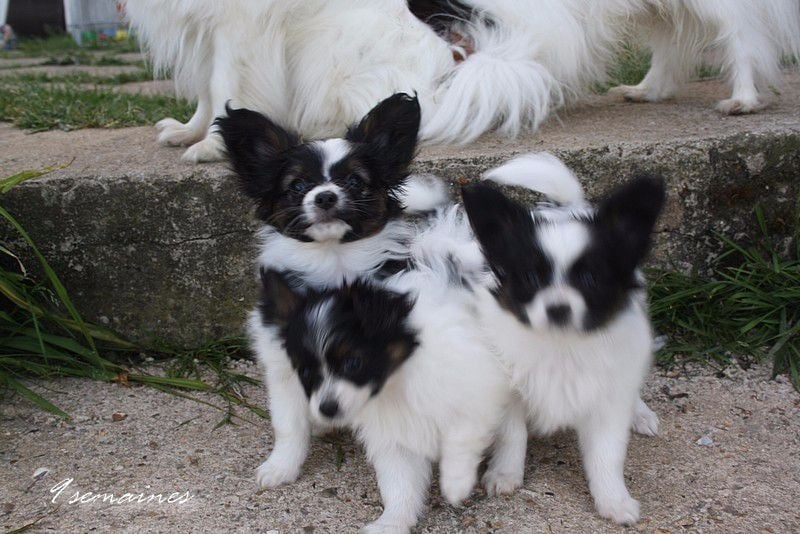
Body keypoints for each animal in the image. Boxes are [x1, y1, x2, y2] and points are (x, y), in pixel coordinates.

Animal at [253, 258, 510, 532]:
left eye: (353, 363)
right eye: (305, 372)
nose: (327, 409)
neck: (398, 379)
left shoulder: (480, 390)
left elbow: (462, 435)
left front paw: (455, 482)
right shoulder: (394, 434)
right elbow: (400, 484)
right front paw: (392, 522)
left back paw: (506, 473)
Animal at [460, 160, 664, 528]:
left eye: (592, 279)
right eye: (530, 278)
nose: (558, 308)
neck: (561, 345)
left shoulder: (606, 402)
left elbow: (606, 454)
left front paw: (614, 500)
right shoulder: (508, 389)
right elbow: (513, 435)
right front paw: (505, 474)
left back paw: (640, 413)